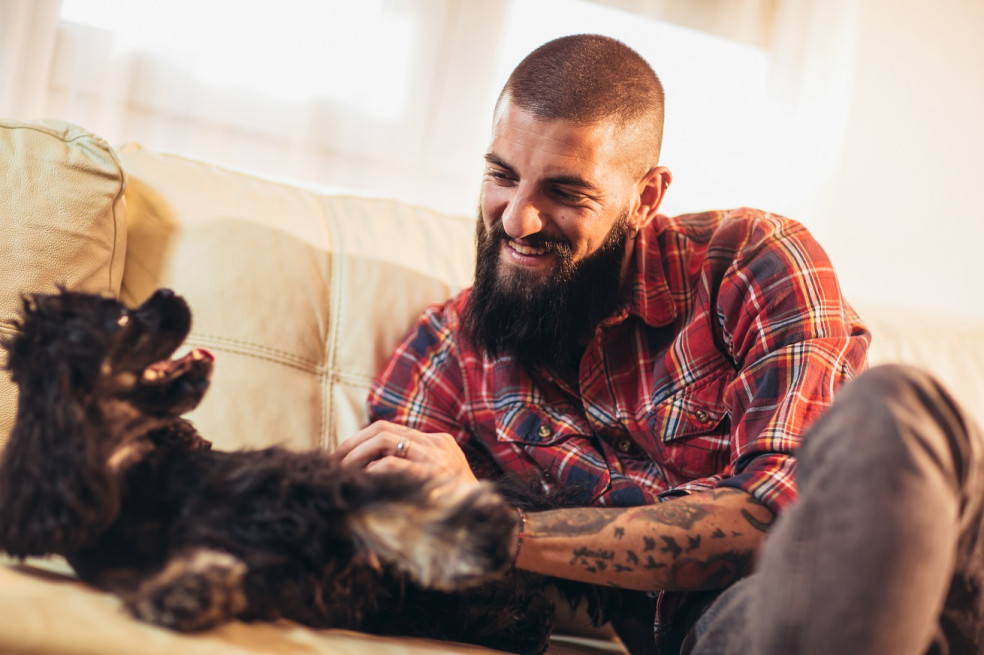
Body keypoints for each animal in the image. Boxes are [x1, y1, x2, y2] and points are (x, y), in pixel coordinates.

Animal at [0, 290, 568, 652]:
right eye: (121, 321)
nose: (168, 291)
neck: (144, 476)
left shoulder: (305, 483)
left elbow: (390, 515)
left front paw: (472, 531)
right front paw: (190, 588)